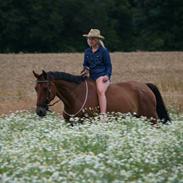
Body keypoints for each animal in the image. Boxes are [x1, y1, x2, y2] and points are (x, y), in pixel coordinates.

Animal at [32, 71, 170, 123]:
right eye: (36, 88)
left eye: (46, 88)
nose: (40, 111)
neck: (75, 97)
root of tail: (145, 86)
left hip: (151, 118)